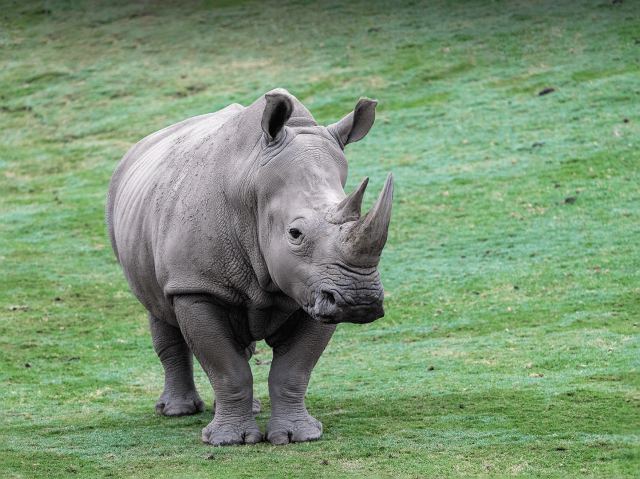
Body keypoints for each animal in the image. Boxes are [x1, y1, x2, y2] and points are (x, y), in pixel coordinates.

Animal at [105, 88, 393, 446]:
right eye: (294, 234)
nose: (360, 301)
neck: (252, 187)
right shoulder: (195, 286)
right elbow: (227, 368)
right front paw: (229, 441)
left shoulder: (315, 288)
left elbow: (294, 369)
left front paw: (297, 436)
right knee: (158, 308)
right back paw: (177, 411)